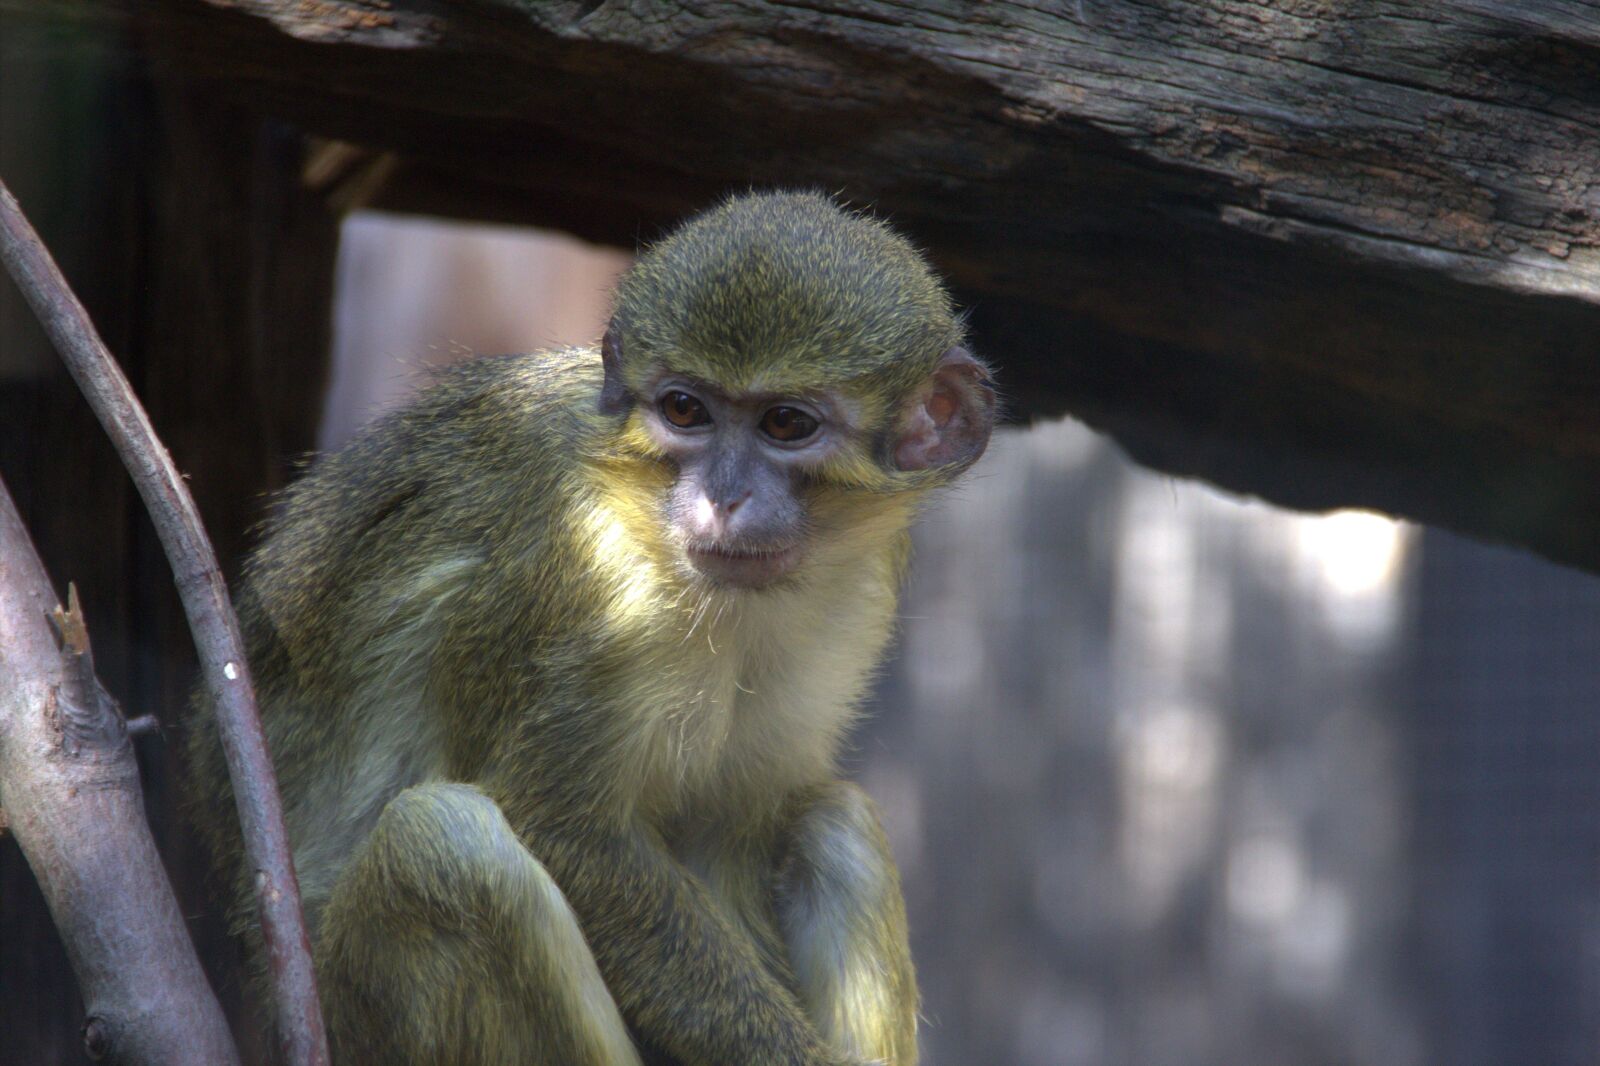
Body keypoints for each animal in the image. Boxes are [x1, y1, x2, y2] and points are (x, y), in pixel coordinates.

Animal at [187, 190, 995, 1066]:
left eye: (785, 424)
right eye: (685, 410)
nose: (724, 497)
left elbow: (730, 835)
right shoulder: (587, 579)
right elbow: (566, 830)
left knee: (833, 822)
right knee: (444, 844)